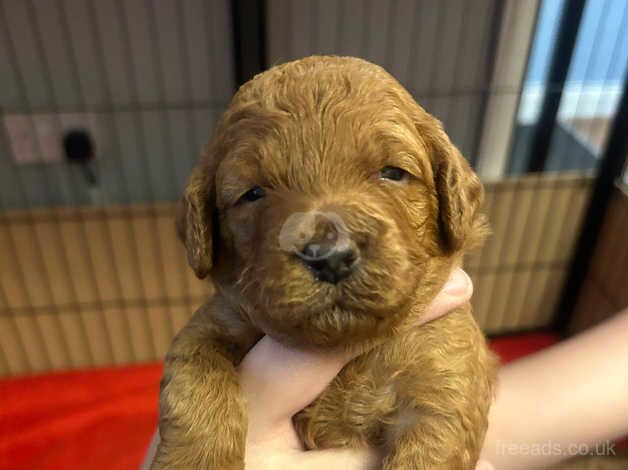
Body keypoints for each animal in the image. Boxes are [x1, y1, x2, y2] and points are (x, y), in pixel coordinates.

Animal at [152, 57, 496, 468]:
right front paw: (194, 460)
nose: (330, 255)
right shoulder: (214, 322)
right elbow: (193, 379)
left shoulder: (446, 372)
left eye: (393, 173)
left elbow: (433, 444)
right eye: (252, 194)